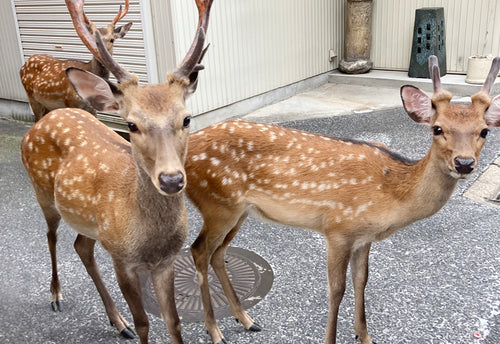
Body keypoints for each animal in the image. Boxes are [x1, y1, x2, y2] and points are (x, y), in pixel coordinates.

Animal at [21, 0, 215, 342]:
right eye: (132, 125)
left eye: (187, 118)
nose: (171, 179)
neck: (149, 240)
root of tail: (41, 123)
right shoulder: (121, 259)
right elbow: (144, 322)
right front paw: (134, 322)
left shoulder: (165, 261)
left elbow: (173, 321)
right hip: (43, 192)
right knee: (51, 235)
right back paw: (56, 295)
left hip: (91, 223)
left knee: (81, 245)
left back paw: (116, 320)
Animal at [185, 56, 500, 344]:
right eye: (438, 128)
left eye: (484, 131)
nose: (464, 163)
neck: (391, 194)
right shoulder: (338, 228)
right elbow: (336, 290)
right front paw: (333, 338)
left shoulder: (364, 237)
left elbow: (362, 281)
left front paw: (365, 336)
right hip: (217, 204)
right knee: (198, 250)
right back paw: (215, 331)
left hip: (239, 211)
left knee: (218, 253)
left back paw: (247, 320)